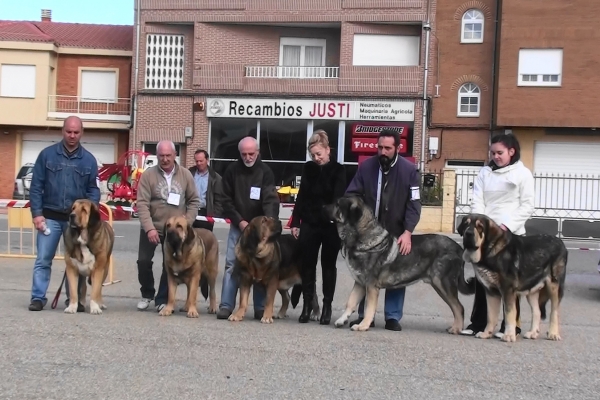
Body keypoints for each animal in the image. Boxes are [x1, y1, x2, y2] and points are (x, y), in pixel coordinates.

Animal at [326, 195, 476, 332]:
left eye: (338, 204)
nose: (323, 206)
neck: (363, 237)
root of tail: (459, 248)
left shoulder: (371, 286)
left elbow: (369, 308)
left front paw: (363, 325)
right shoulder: (360, 283)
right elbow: (350, 302)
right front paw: (342, 320)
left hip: (444, 283)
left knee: (459, 307)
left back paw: (456, 329)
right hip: (439, 285)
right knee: (456, 307)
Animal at [460, 214, 568, 342]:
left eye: (480, 227)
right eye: (466, 224)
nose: (468, 233)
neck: (489, 250)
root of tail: (560, 242)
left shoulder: (508, 290)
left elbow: (509, 313)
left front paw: (509, 335)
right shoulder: (491, 292)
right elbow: (491, 316)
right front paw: (486, 333)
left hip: (554, 286)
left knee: (554, 312)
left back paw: (553, 333)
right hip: (532, 290)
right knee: (537, 311)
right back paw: (533, 333)